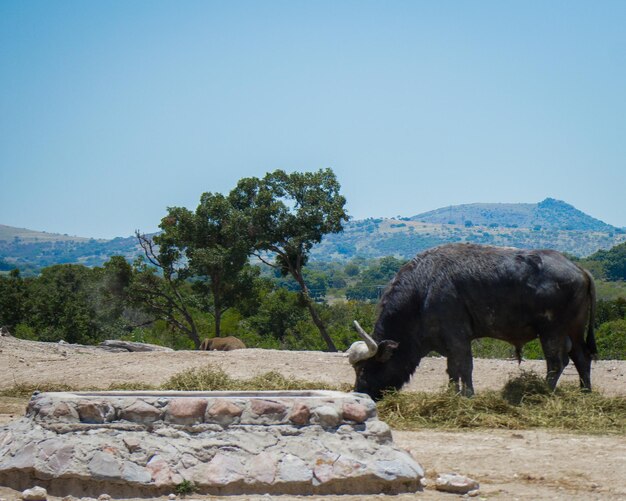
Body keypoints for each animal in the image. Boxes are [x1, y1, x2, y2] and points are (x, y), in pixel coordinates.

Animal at [346, 242, 596, 398]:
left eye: (364, 369)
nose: (360, 392)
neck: (423, 290)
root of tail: (579, 269)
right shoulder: (448, 343)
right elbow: (452, 370)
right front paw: (452, 393)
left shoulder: (458, 338)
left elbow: (465, 367)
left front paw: (467, 395)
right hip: (574, 330)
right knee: (581, 357)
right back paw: (585, 392)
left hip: (551, 331)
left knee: (556, 363)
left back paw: (544, 392)